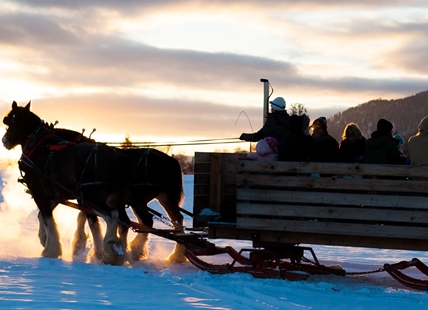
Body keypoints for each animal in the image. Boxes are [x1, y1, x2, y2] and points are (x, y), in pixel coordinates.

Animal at [1, 101, 135, 264]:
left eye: (10, 123)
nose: (4, 140)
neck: (39, 146)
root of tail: (114, 155)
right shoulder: (56, 195)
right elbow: (42, 217)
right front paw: (44, 239)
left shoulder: (40, 193)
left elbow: (48, 219)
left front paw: (51, 250)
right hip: (110, 199)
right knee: (124, 221)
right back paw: (119, 254)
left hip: (93, 198)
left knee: (112, 217)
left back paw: (110, 251)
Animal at [50, 127, 187, 262]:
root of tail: (169, 160)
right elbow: (84, 216)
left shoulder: (87, 197)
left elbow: (87, 217)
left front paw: (80, 245)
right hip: (165, 198)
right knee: (176, 219)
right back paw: (176, 255)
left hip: (139, 201)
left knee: (148, 221)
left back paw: (135, 250)